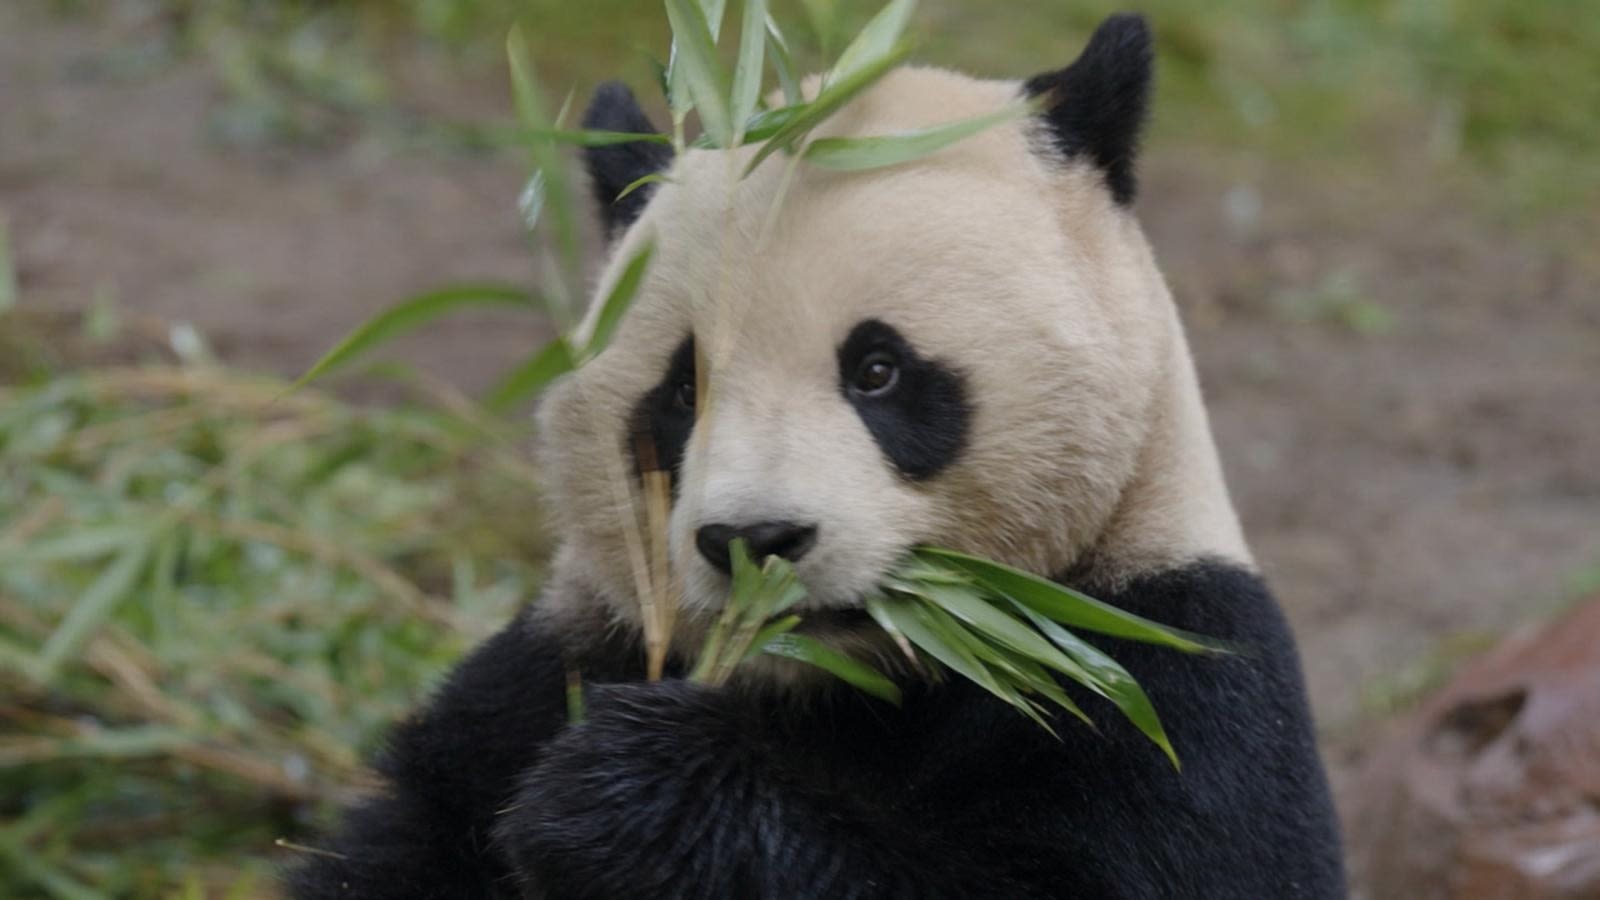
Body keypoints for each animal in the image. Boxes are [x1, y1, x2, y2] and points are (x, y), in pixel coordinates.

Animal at [291, 15, 1350, 896]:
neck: (833, 682)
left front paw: (632, 794)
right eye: (684, 390)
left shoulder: (1156, 668)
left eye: (877, 370)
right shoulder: (557, 662)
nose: (756, 539)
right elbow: (413, 836)